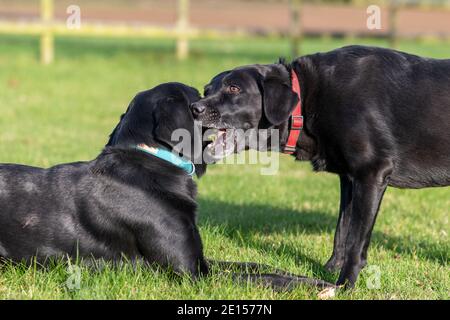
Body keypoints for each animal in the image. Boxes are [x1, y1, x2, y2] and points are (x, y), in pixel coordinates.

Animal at [0, 82, 334, 292]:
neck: (152, 158)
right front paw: (320, 286)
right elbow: (259, 278)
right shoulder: (192, 275)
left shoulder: (199, 260)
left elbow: (255, 266)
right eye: (198, 95)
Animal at [191, 45, 450, 288]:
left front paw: (344, 285)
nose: (195, 108)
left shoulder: (372, 173)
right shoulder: (349, 179)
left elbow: (355, 242)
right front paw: (328, 271)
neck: (306, 101)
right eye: (207, 90)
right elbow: (341, 231)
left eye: (234, 89)